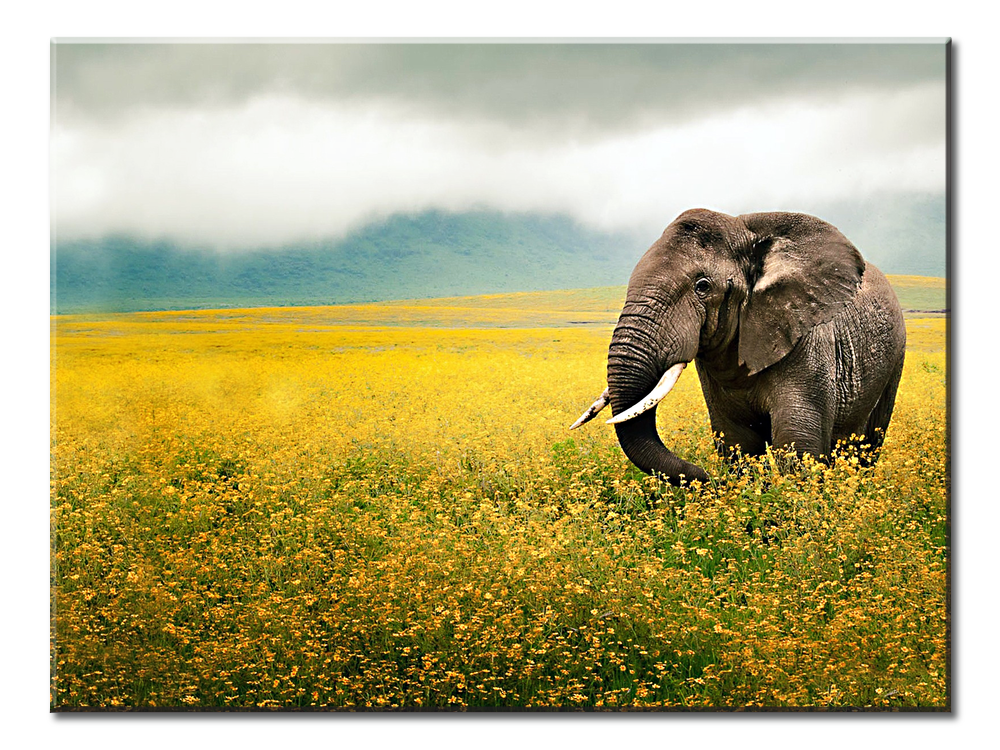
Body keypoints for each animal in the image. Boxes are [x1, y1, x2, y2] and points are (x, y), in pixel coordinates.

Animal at [570, 208, 906, 485]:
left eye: (703, 286)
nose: (706, 478)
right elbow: (738, 442)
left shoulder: (809, 342)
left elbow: (797, 444)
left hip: (894, 360)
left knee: (868, 444)